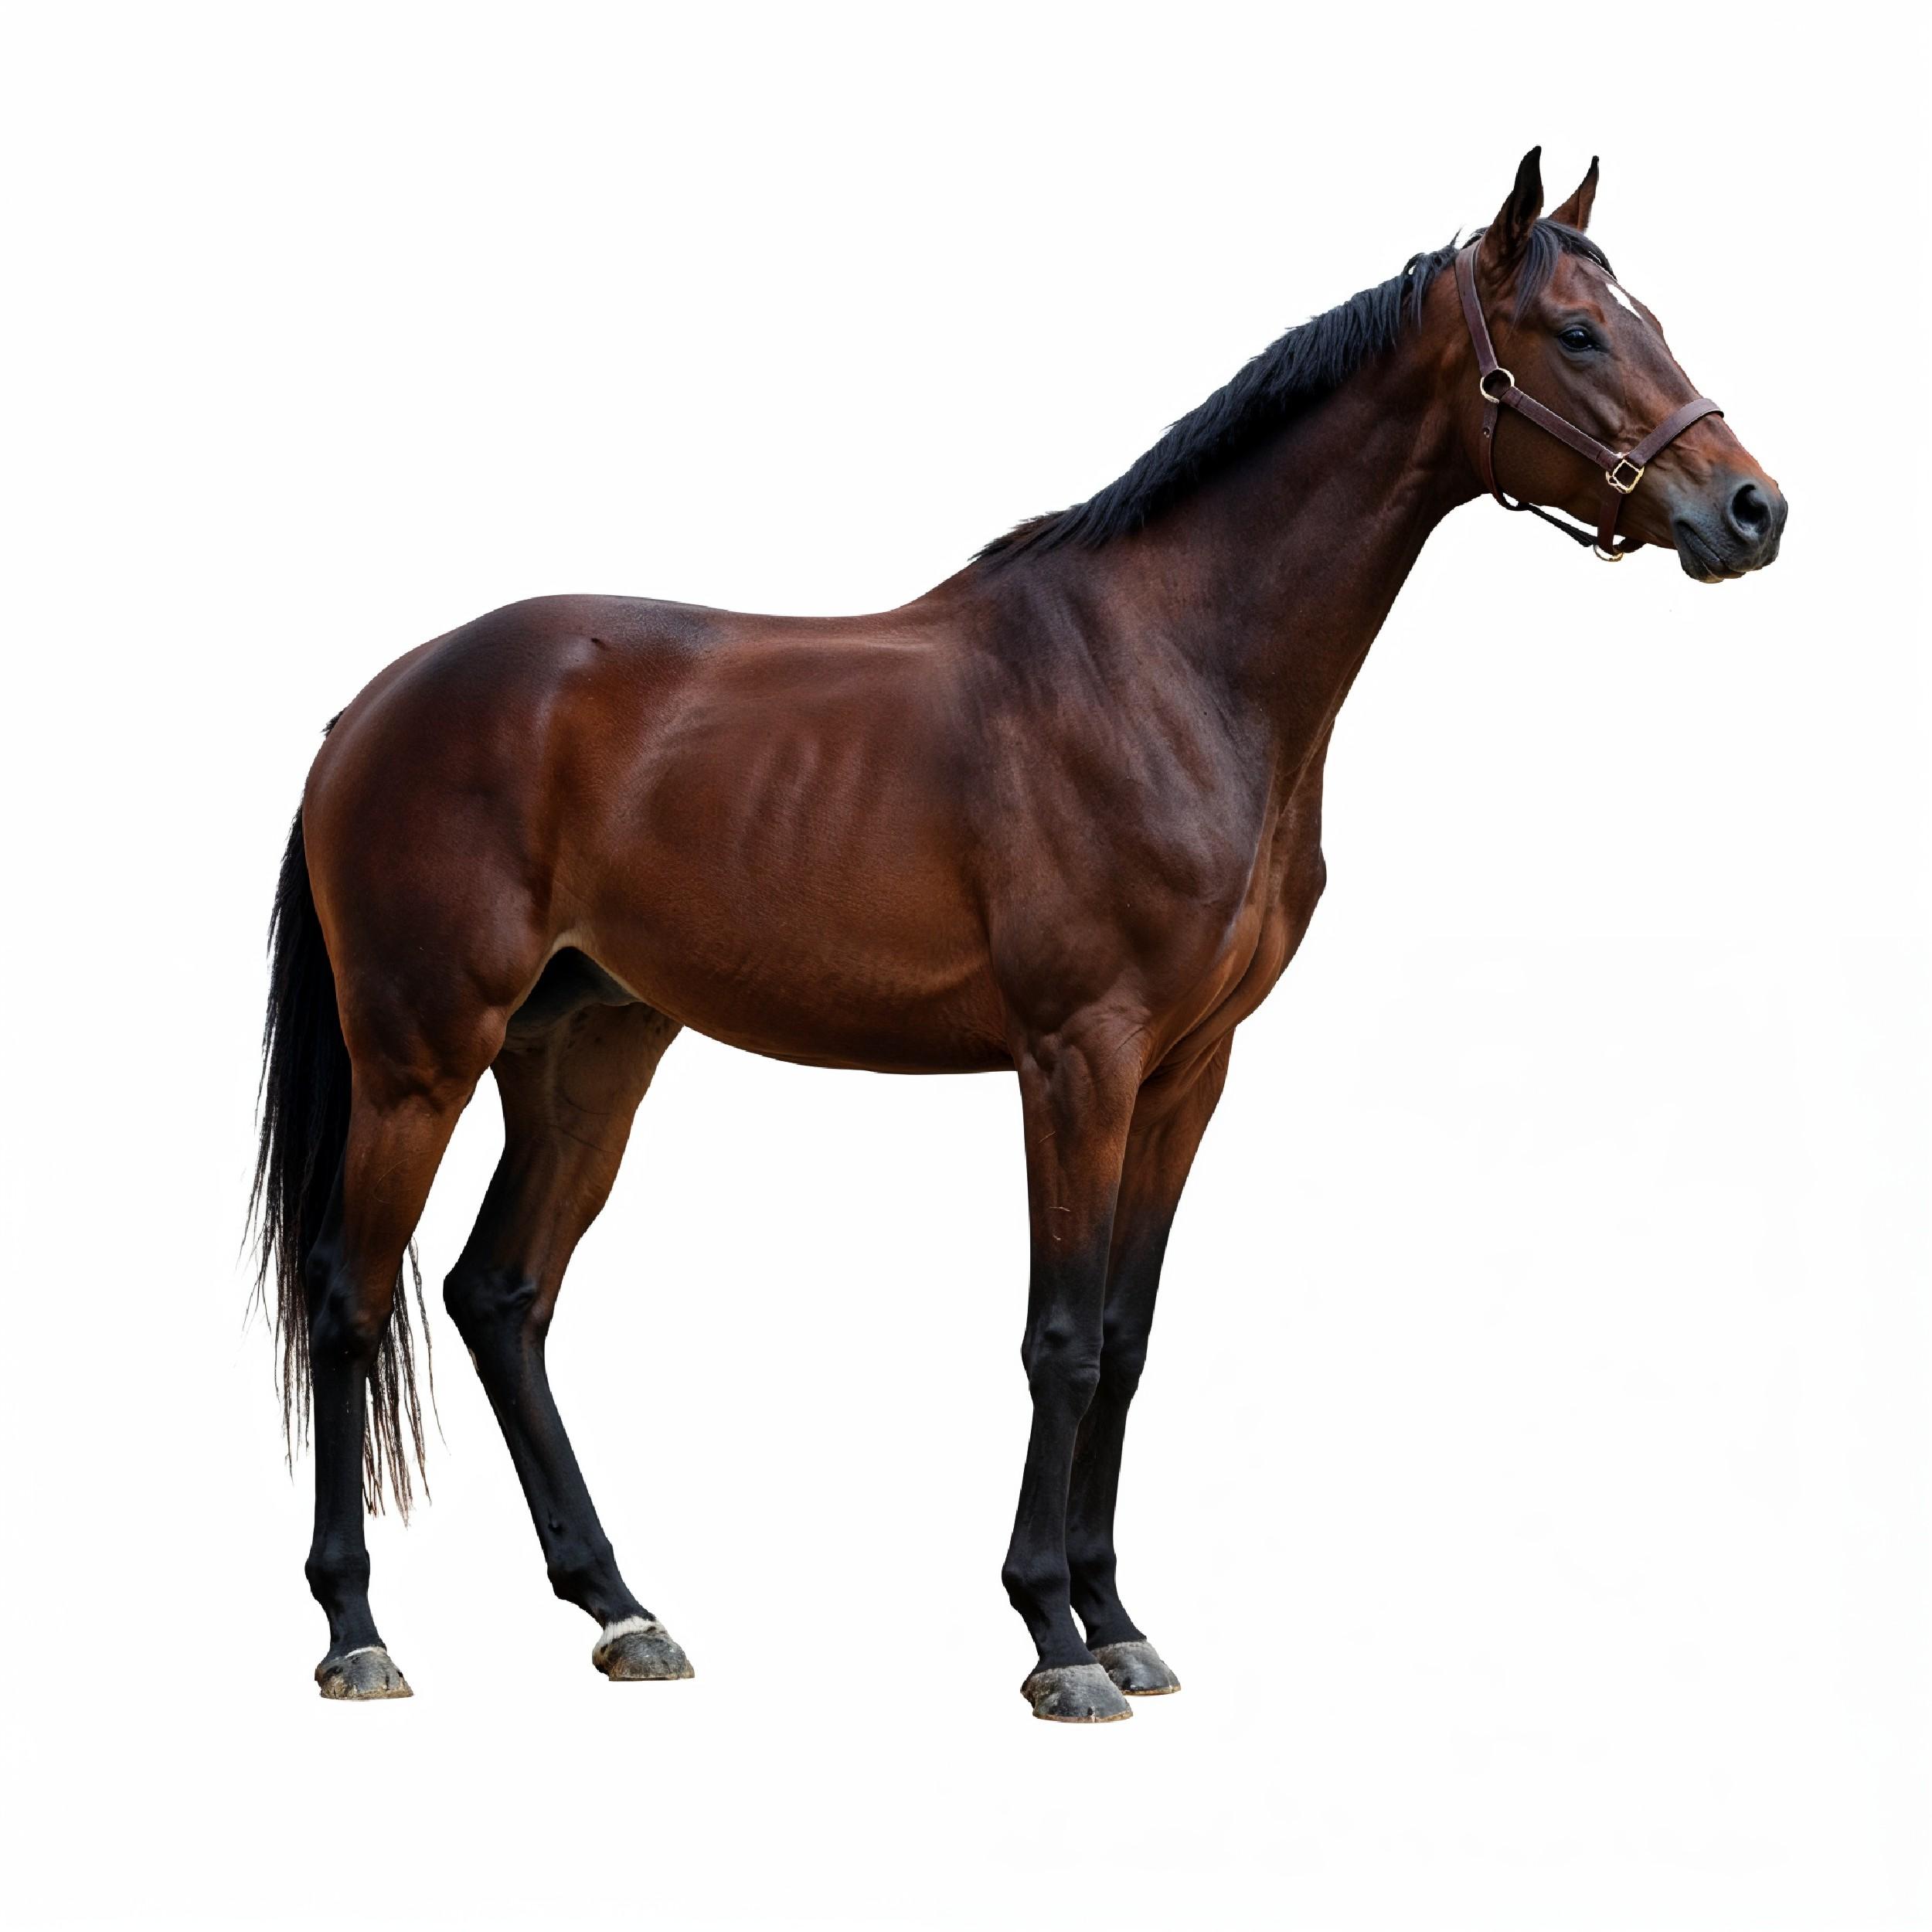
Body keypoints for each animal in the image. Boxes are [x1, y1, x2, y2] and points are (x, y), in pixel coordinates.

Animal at [252, 149, 1786, 1720]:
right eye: (1578, 334)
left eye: (1649, 318)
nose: (1750, 510)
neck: (1171, 668)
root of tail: (374, 708)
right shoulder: (1077, 1060)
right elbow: (1058, 1340)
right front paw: (1055, 1638)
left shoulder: (1185, 1075)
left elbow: (1124, 1339)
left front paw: (1118, 1619)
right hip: (419, 1060)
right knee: (348, 1300)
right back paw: (357, 1631)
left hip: (591, 1052)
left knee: (501, 1296)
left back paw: (622, 1610)